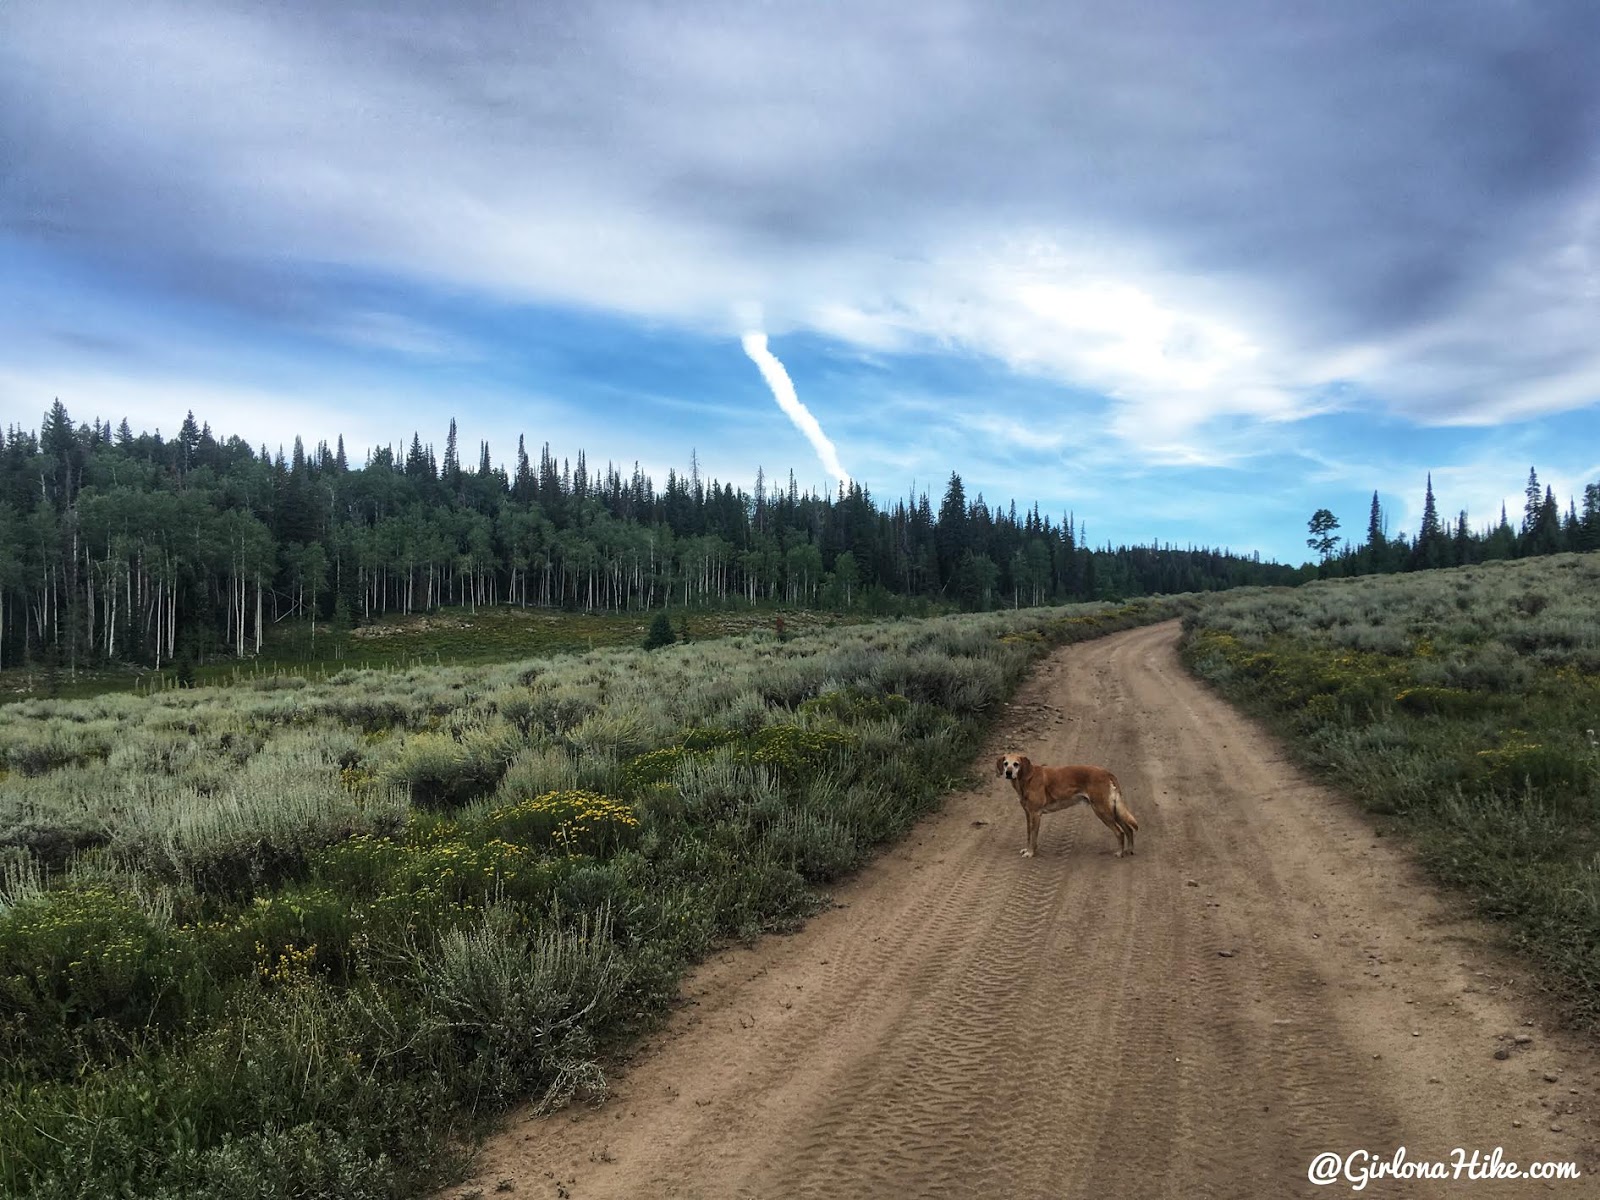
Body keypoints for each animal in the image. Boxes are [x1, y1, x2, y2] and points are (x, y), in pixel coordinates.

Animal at [998, 755, 1139, 857]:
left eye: (1016, 764)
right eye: (1005, 763)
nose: (1008, 773)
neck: (1027, 778)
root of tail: (1106, 772)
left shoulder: (1036, 814)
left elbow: (1033, 836)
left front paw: (1031, 853)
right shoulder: (1028, 814)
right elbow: (1029, 835)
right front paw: (1028, 850)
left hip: (1102, 811)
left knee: (1120, 832)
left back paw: (1120, 853)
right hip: (1113, 811)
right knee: (1128, 829)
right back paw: (1129, 850)